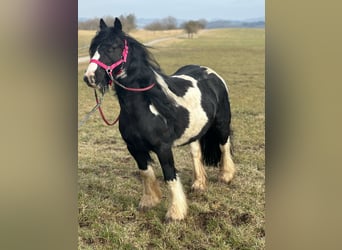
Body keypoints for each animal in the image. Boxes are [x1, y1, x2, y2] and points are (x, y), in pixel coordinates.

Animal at [83, 17, 235, 221]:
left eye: (112, 47)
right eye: (93, 49)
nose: (90, 77)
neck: (145, 106)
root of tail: (211, 74)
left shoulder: (163, 148)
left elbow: (170, 175)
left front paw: (175, 213)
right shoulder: (134, 148)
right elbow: (146, 173)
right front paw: (149, 201)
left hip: (221, 124)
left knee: (224, 146)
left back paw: (226, 175)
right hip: (194, 132)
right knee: (196, 153)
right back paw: (198, 184)